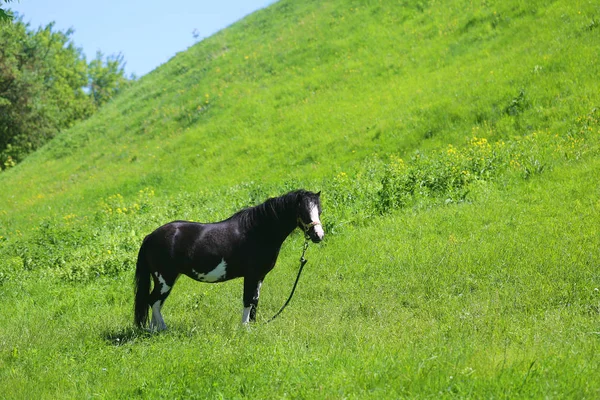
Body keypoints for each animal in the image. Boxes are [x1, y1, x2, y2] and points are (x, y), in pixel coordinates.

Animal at [134, 189, 326, 330]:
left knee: (156, 302)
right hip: (165, 278)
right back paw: (162, 329)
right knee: (153, 301)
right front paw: (245, 328)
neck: (258, 231)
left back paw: (154, 329)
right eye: (303, 212)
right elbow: (248, 300)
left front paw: (253, 325)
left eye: (319, 211)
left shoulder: (260, 276)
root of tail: (150, 237)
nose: (318, 235)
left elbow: (255, 300)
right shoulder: (251, 275)